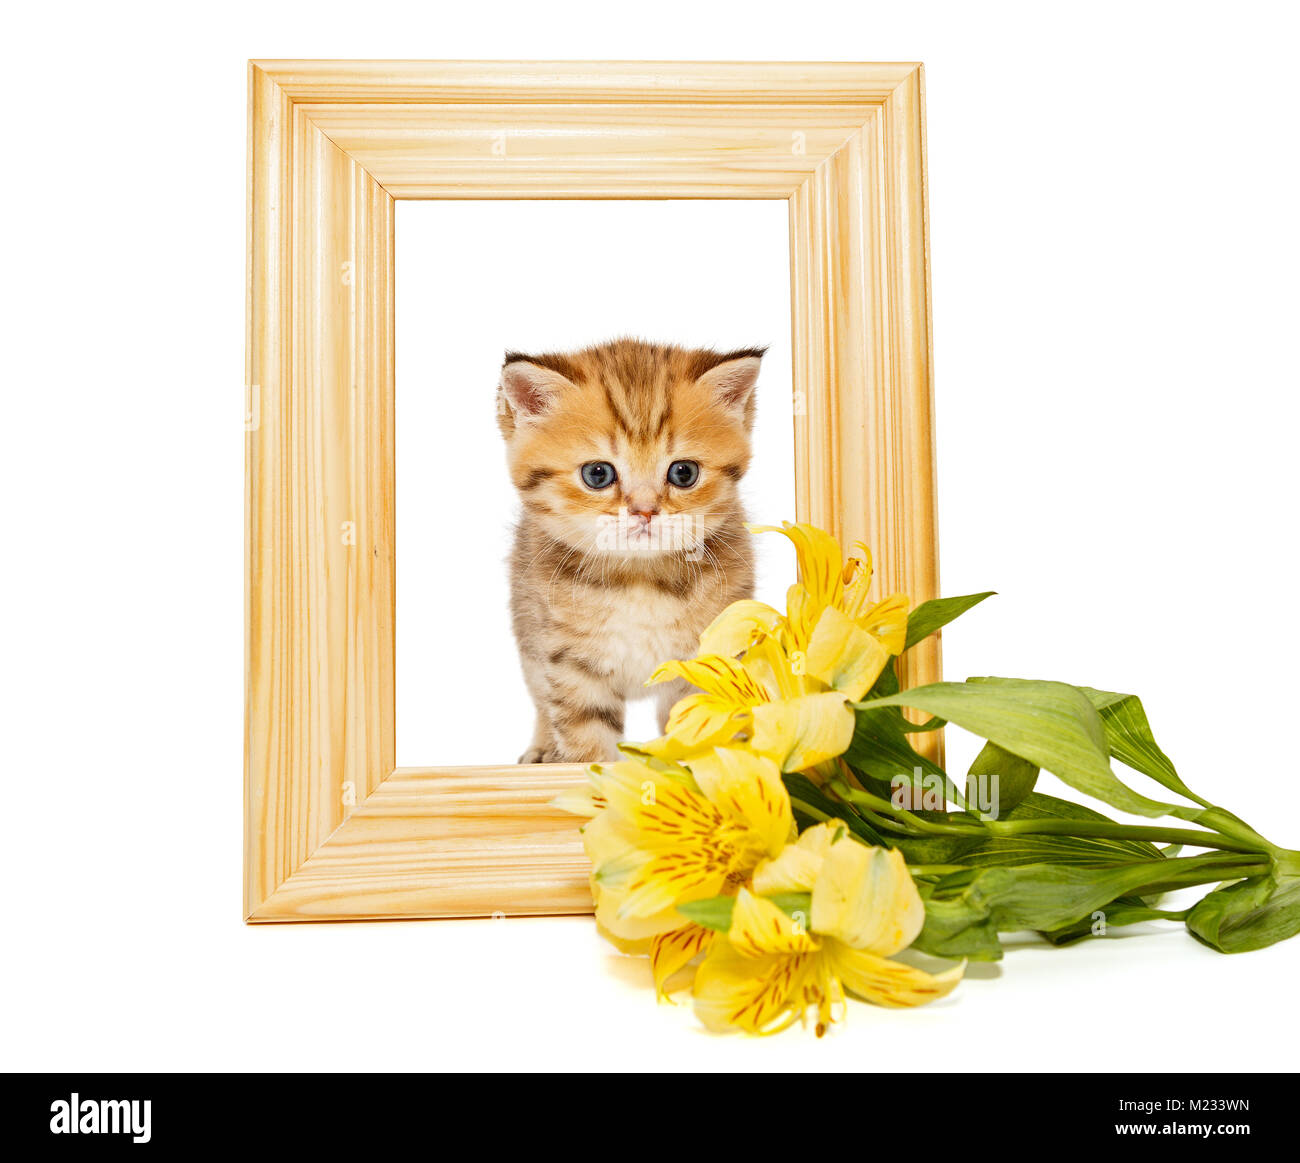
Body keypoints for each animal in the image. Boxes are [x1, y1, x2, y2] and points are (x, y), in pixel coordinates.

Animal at [493, 337, 759, 764]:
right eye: (597, 474)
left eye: (683, 472)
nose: (644, 511)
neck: (639, 578)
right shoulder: (569, 662)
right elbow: (586, 737)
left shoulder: (707, 651)